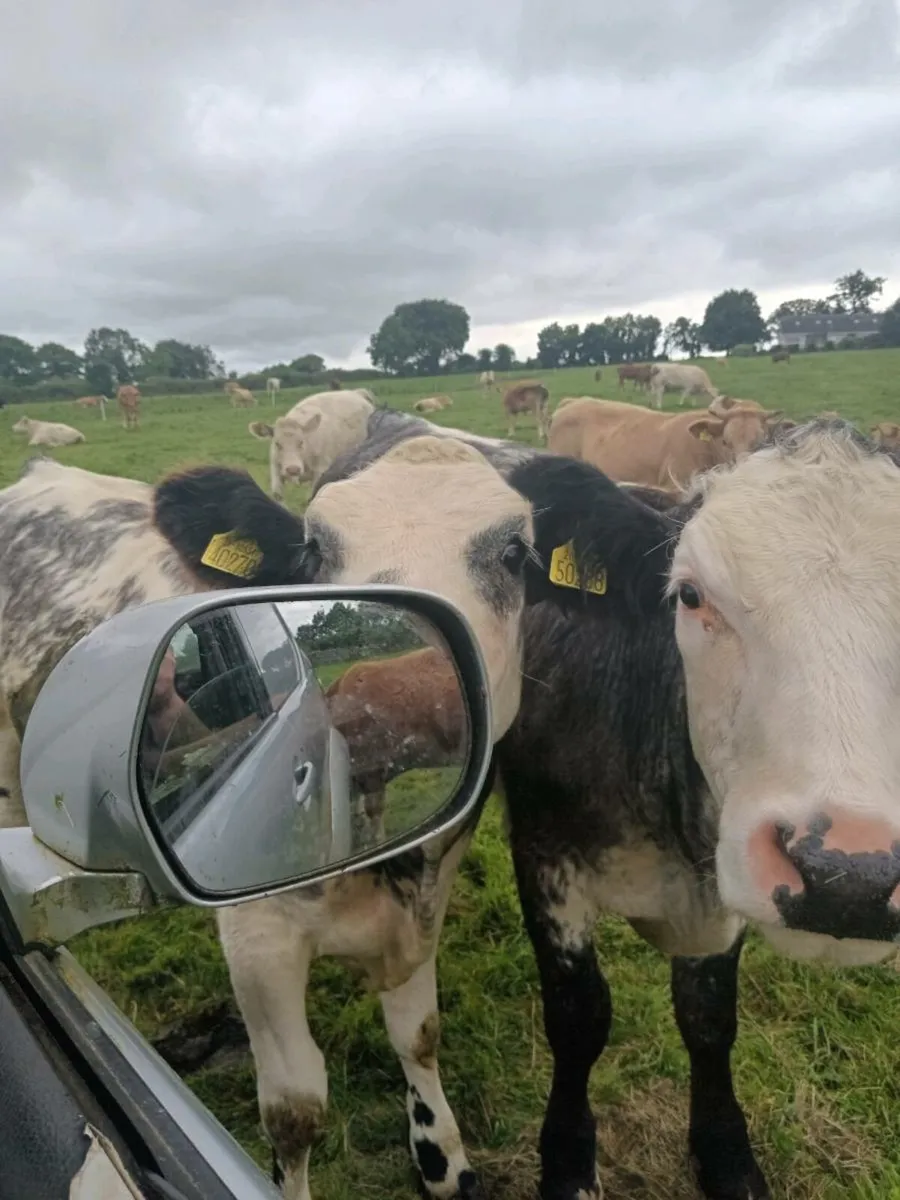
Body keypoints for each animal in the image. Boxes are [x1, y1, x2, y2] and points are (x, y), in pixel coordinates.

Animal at [0, 436, 629, 1200]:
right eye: (311, 548)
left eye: (515, 553)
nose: (417, 689)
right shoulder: (256, 937)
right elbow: (295, 1109)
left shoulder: (428, 897)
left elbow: (419, 1033)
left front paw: (440, 1157)